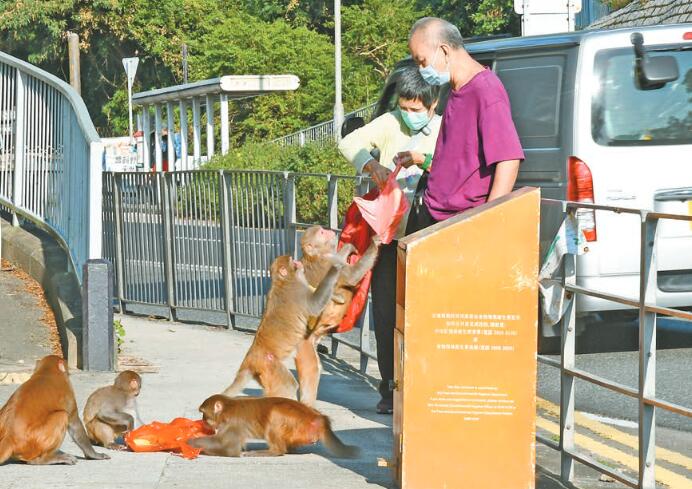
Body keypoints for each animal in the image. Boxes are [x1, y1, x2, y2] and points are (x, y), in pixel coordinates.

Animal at [187, 392, 360, 458]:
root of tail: (318, 417)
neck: (228, 407)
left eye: (204, 414)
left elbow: (229, 449)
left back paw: (273, 451)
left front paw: (192, 442)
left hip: (297, 424)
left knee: (275, 414)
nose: (202, 420)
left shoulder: (232, 423)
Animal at [222, 246, 352, 398]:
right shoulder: (299, 292)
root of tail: (249, 360)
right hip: (269, 364)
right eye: (291, 260)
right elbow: (316, 304)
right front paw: (336, 265)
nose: (298, 261)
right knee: (288, 385)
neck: (283, 280)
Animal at [292, 225, 382, 404]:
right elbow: (353, 274)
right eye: (321, 233)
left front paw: (348, 247)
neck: (318, 255)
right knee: (311, 371)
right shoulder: (330, 264)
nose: (328, 231)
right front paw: (374, 243)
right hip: (304, 347)